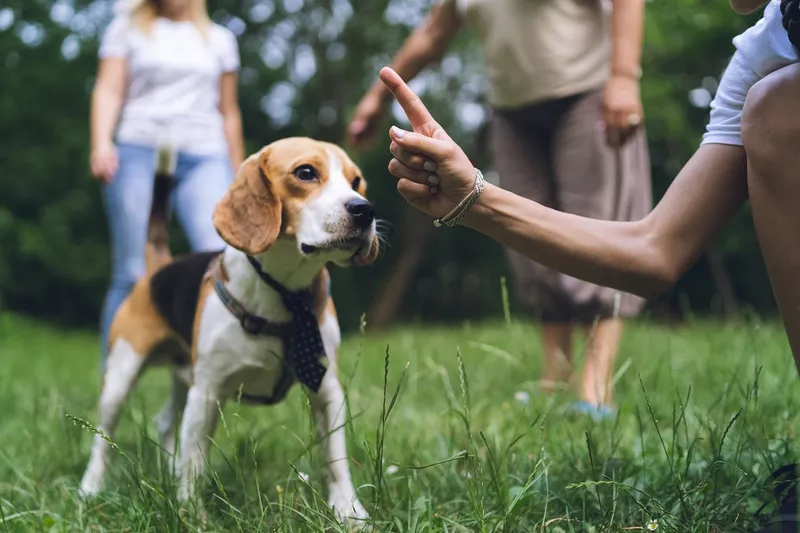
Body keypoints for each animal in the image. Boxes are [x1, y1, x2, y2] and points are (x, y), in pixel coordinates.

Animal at [79, 136, 380, 524]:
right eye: (306, 173)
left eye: (356, 181)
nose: (365, 210)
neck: (285, 292)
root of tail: (160, 265)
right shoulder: (207, 393)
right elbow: (196, 462)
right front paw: (192, 516)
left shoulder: (326, 389)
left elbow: (336, 458)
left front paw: (349, 511)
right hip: (121, 375)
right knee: (103, 437)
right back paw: (90, 488)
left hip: (184, 377)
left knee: (164, 421)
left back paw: (168, 471)